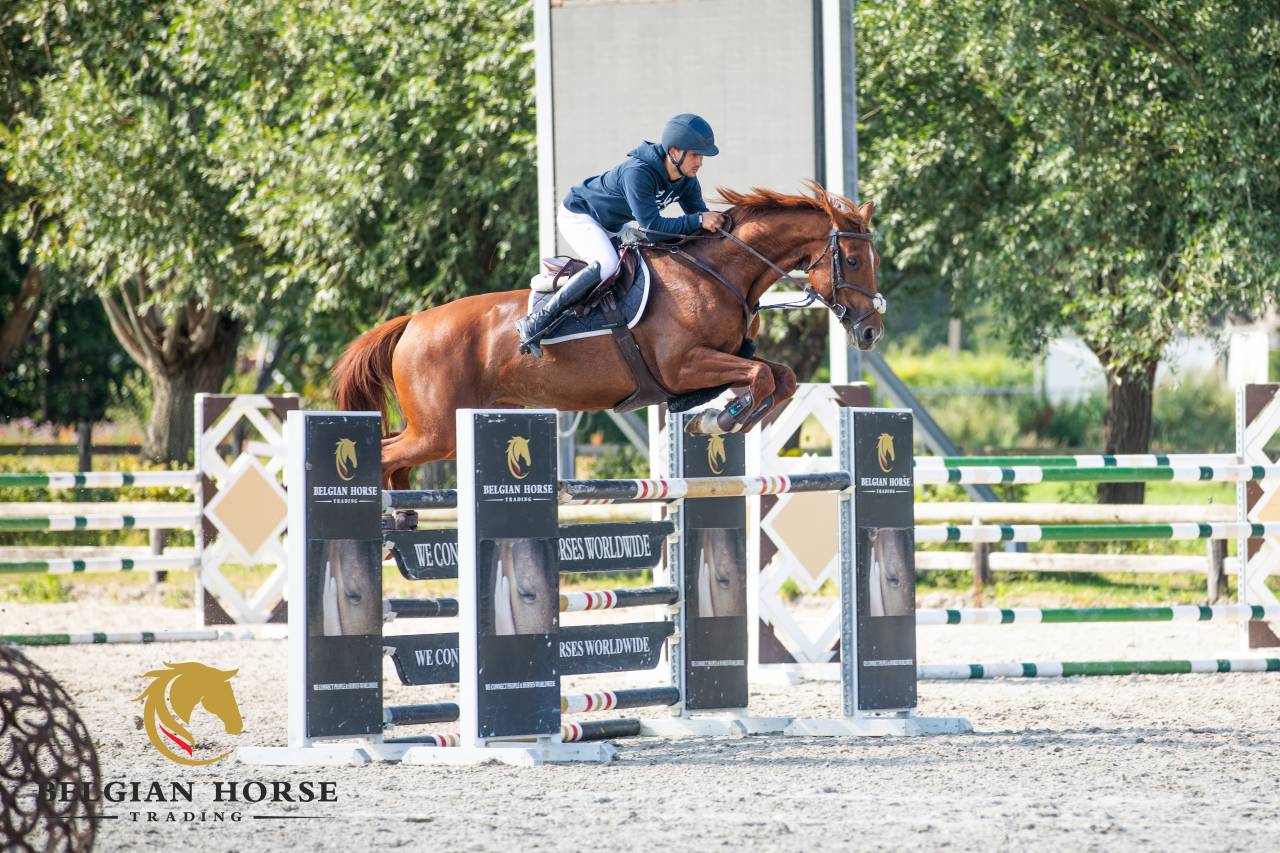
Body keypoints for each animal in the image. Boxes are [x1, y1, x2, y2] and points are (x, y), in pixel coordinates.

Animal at [332, 183, 883, 488]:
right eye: (854, 260)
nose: (871, 330)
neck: (717, 273)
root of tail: (413, 323)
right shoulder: (684, 365)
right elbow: (763, 378)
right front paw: (721, 421)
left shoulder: (716, 363)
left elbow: (779, 376)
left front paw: (718, 418)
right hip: (439, 430)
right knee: (385, 455)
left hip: (441, 428)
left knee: (392, 448)